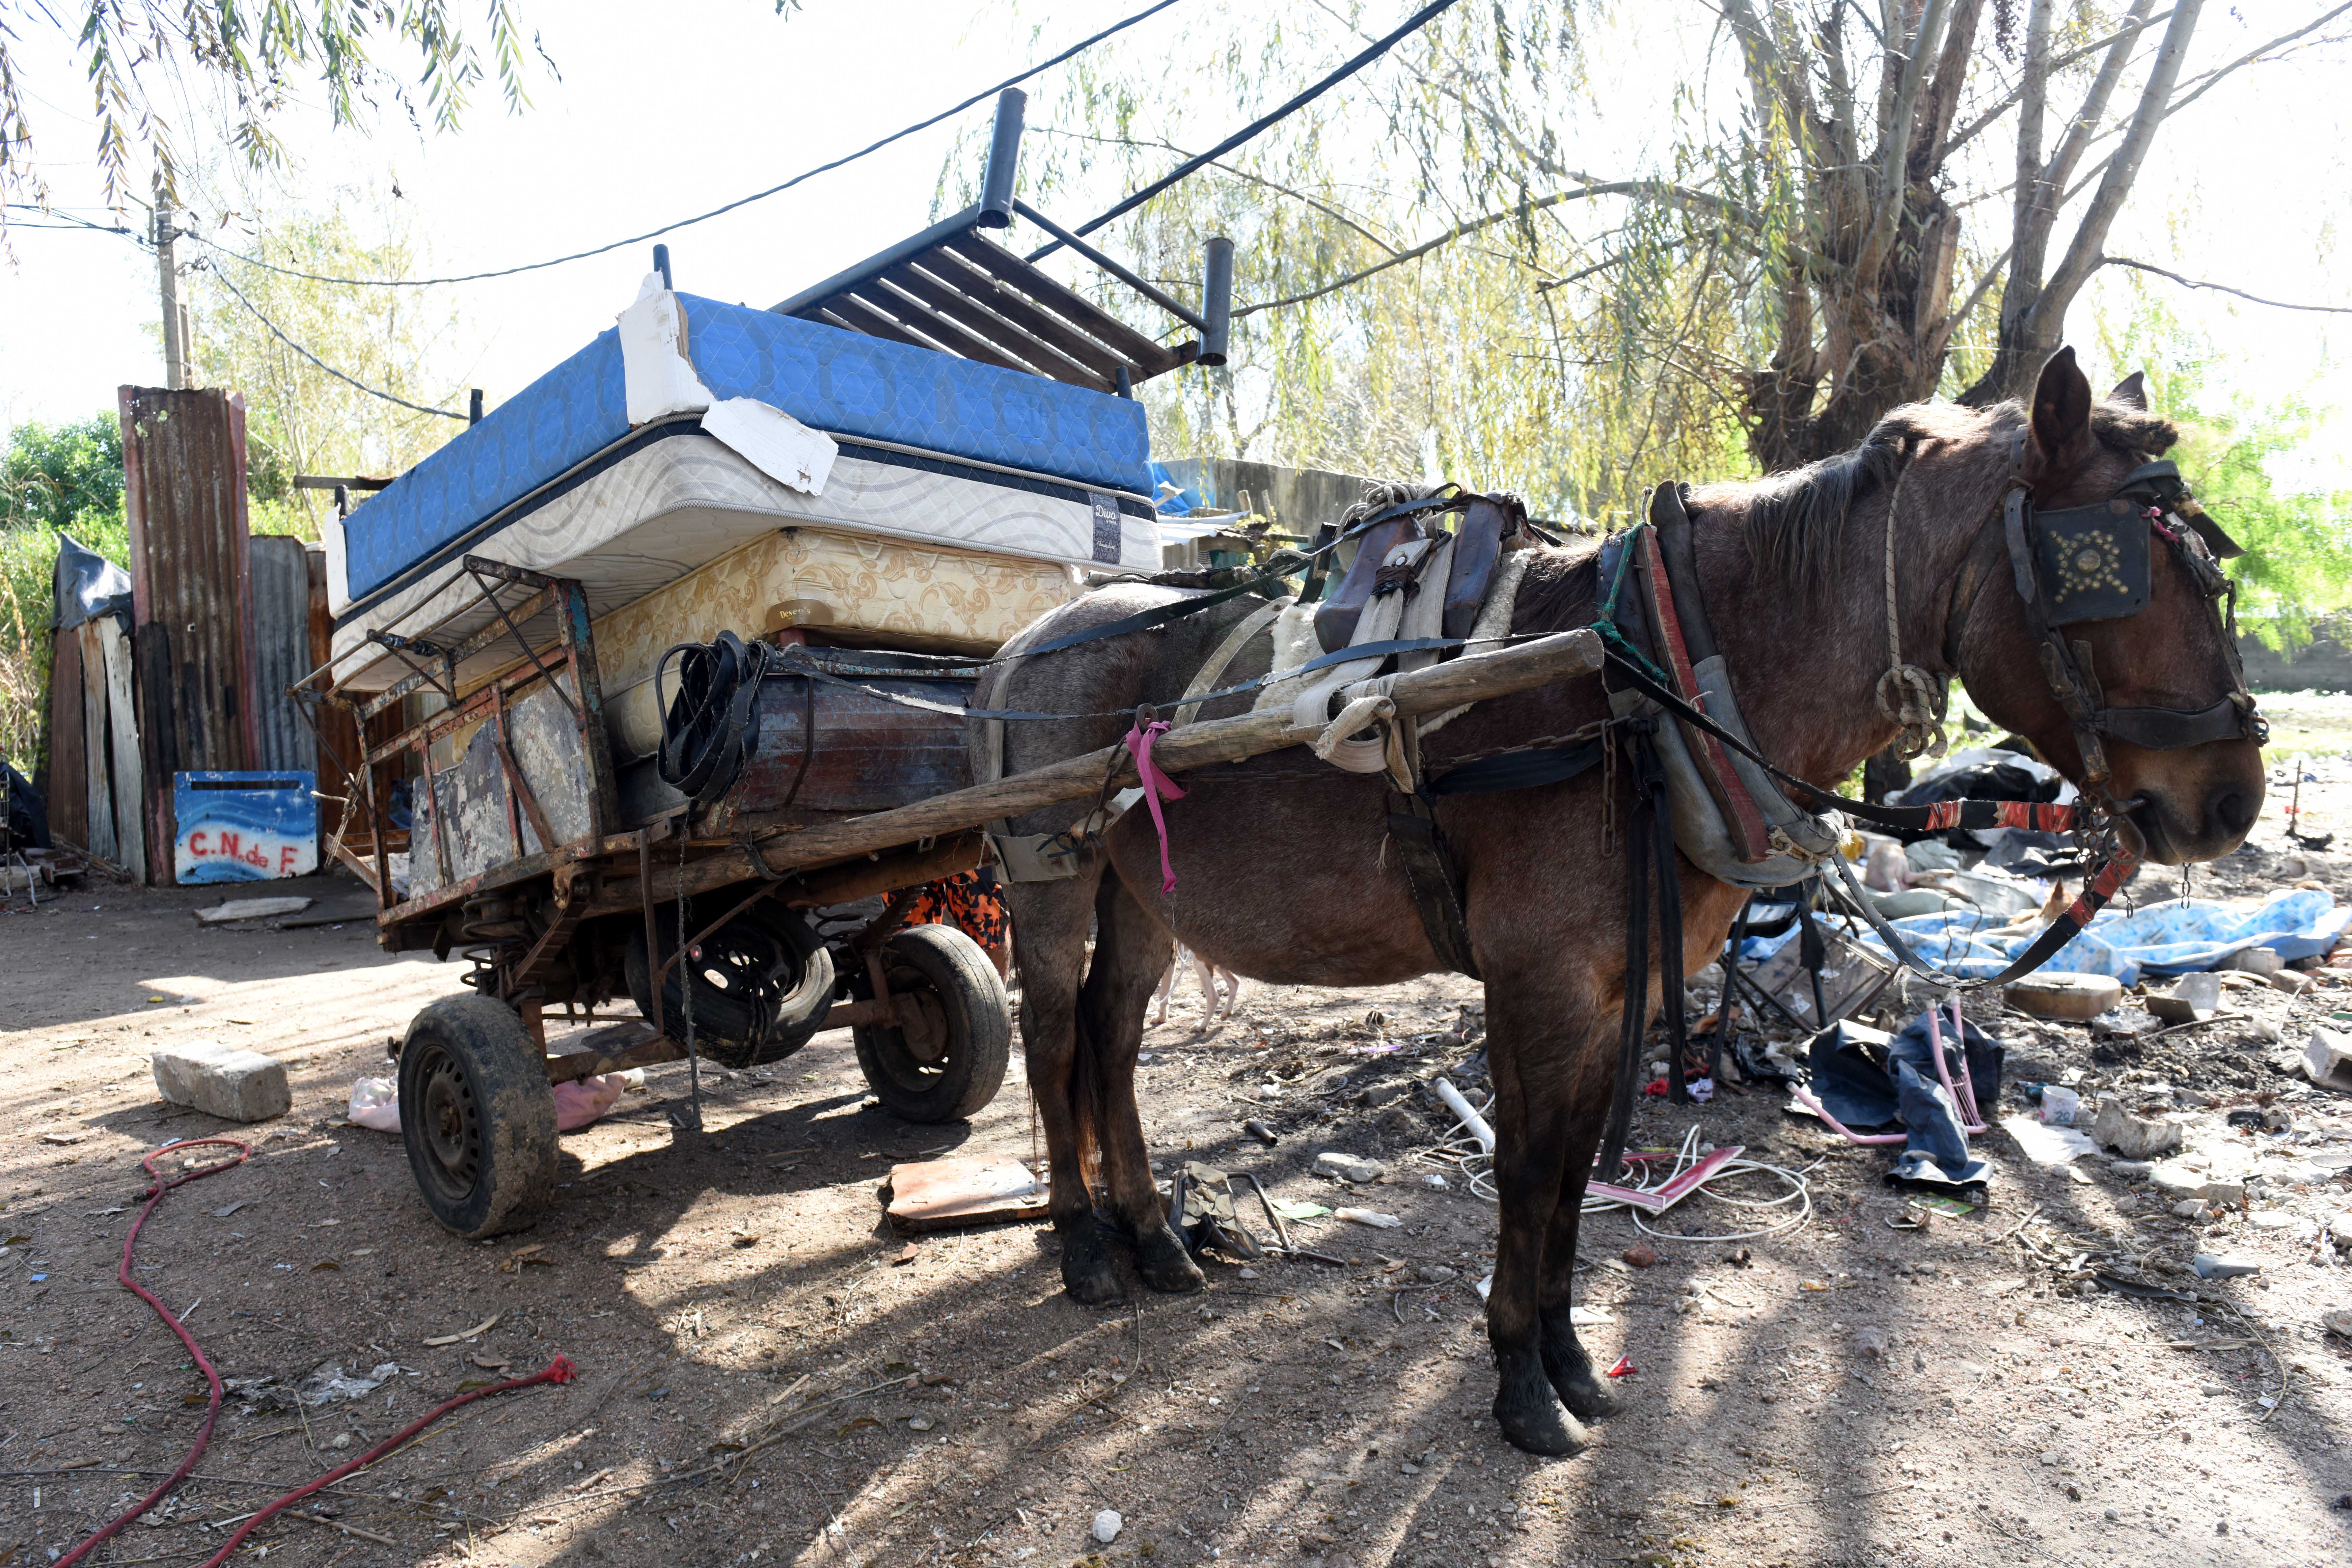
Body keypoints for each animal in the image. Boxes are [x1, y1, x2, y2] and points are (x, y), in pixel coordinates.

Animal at [969, 350, 2258, 1457]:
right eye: (2119, 564)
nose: (2231, 797)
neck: (1646, 683)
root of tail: (1023, 643)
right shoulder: (1536, 981)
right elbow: (1528, 1169)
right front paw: (1520, 1383)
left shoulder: (1615, 987)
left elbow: (1574, 1174)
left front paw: (1569, 1361)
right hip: (1052, 874)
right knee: (1053, 1034)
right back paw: (1084, 1242)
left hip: (1143, 888)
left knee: (1112, 1037)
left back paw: (1151, 1234)